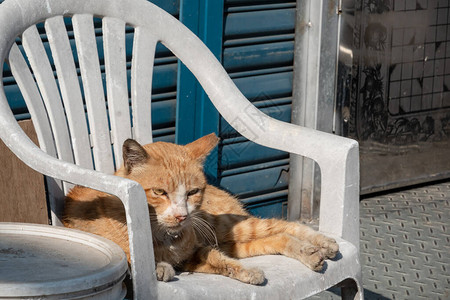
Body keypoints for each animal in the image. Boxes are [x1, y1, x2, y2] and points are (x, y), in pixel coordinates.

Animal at [63, 134, 338, 284]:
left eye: (192, 192)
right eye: (159, 192)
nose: (181, 215)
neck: (164, 237)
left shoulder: (196, 251)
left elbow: (220, 260)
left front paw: (248, 272)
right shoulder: (192, 259)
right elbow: (130, 256)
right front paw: (158, 267)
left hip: (228, 227)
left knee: (284, 226)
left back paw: (322, 244)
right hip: (234, 241)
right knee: (276, 238)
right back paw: (311, 252)